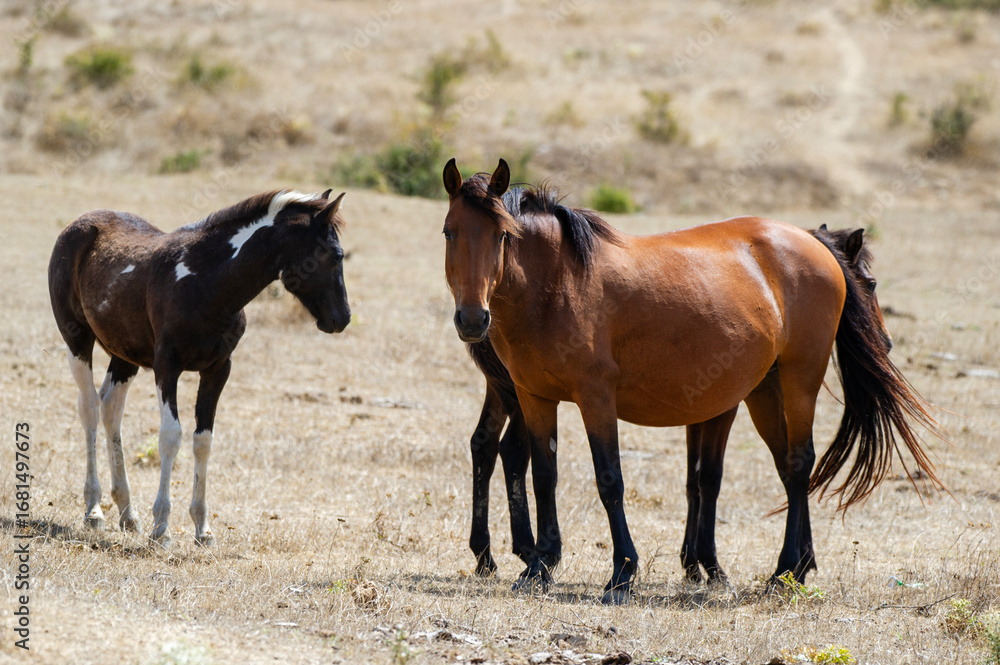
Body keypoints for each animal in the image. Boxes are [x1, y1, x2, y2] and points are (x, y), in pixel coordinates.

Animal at [48, 189, 350, 547]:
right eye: (335, 256)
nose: (342, 318)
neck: (208, 284)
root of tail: (79, 224)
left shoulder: (218, 369)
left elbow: (203, 440)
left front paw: (202, 528)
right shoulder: (167, 367)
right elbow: (171, 436)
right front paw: (161, 527)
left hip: (125, 356)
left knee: (111, 410)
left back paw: (127, 512)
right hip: (78, 341)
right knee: (90, 410)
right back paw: (94, 509)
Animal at [442, 158, 942, 603]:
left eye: (503, 235)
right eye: (449, 232)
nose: (472, 318)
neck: (559, 284)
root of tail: (811, 247)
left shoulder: (596, 398)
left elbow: (613, 479)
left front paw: (623, 574)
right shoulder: (535, 397)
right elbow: (545, 474)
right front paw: (541, 565)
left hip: (800, 380)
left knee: (800, 463)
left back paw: (784, 573)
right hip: (764, 392)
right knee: (788, 468)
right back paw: (798, 566)